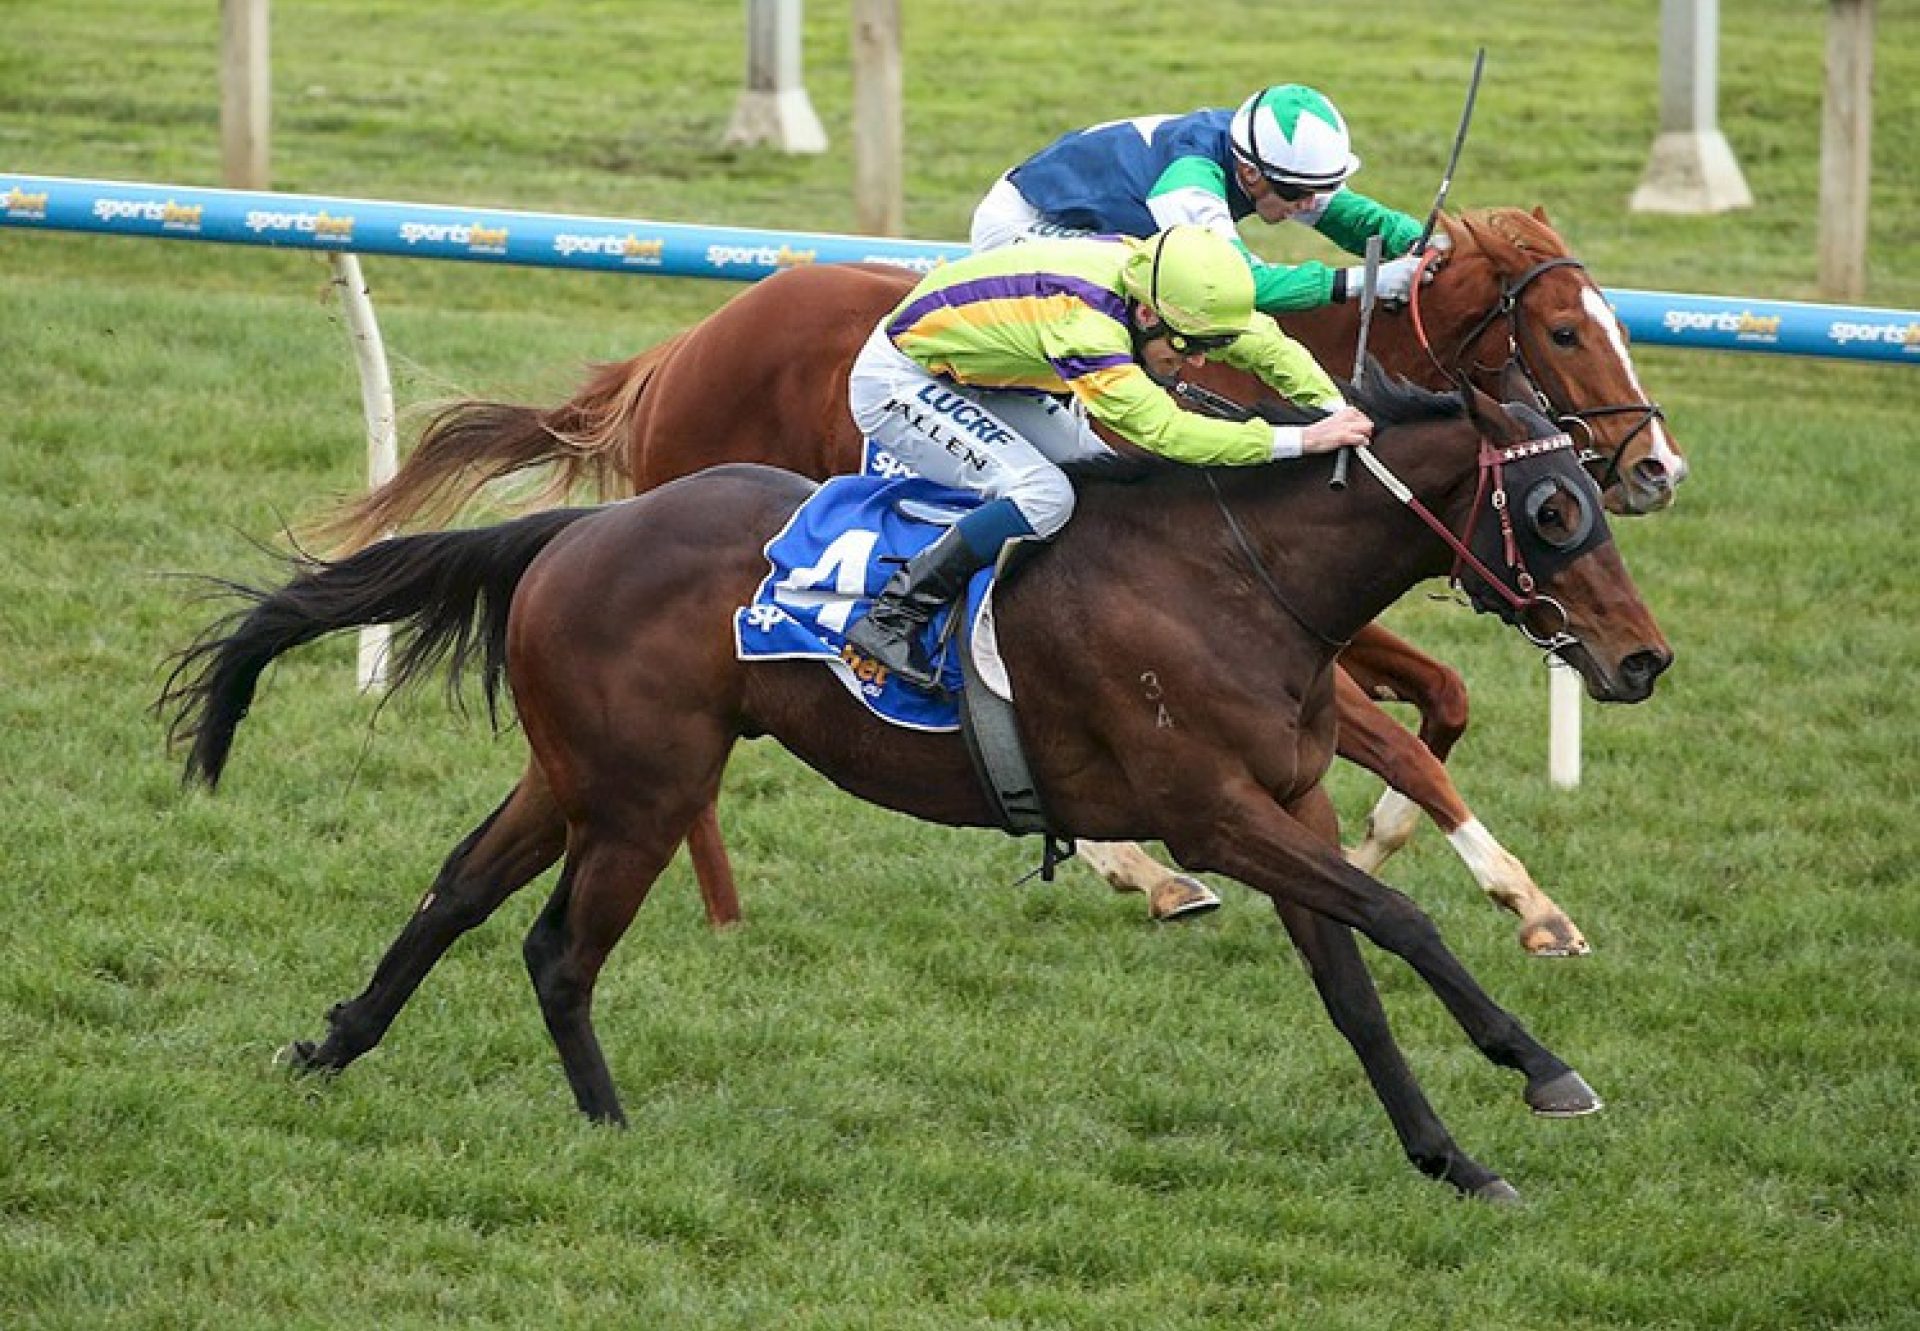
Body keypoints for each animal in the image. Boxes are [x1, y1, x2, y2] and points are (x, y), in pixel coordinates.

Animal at [161, 374, 1666, 1190]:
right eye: (1553, 508)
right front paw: (1543, 1067)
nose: (1641, 657)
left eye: (1595, 496)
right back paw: (607, 1122)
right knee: (557, 948)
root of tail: (581, 528)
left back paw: (331, 1043)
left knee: (458, 892)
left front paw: (1455, 1158)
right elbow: (1400, 919)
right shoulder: (1212, 814)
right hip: (643, 790)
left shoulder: (1283, 808)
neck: (1238, 580)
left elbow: (1354, 987)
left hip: (578, 770)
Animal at [314, 207, 1681, 948]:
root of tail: (678, 347)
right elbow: (1400, 739)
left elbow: (1441, 704)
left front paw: (1394, 846)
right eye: (1565, 329)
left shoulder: (1317, 616)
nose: (1657, 465)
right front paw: (1531, 903)